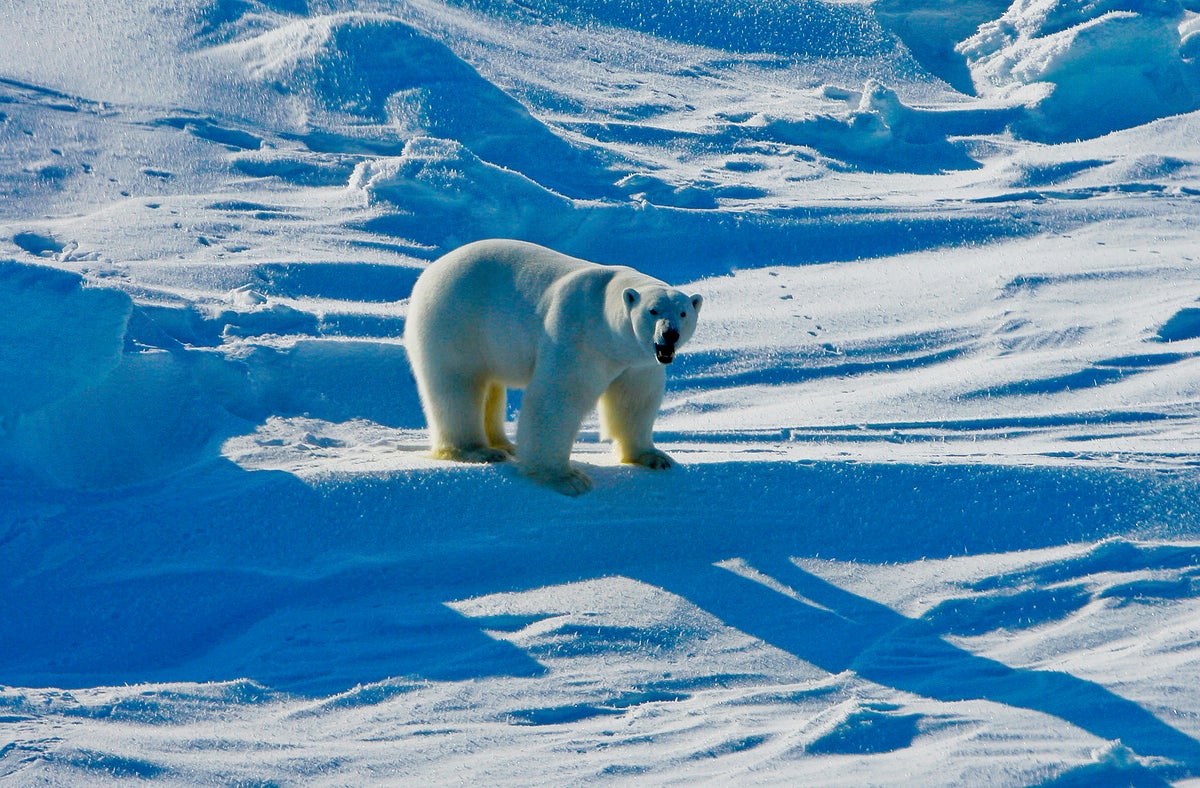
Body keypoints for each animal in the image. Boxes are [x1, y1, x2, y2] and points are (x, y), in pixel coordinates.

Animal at [405, 236, 700, 494]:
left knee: (490, 387)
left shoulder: (638, 362)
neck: (606, 325)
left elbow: (635, 401)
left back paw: (505, 445)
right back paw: (477, 450)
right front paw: (567, 478)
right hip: (456, 319)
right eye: (653, 311)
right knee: (457, 385)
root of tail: (431, 271)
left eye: (683, 313)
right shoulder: (578, 336)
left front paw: (654, 457)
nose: (669, 334)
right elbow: (558, 398)